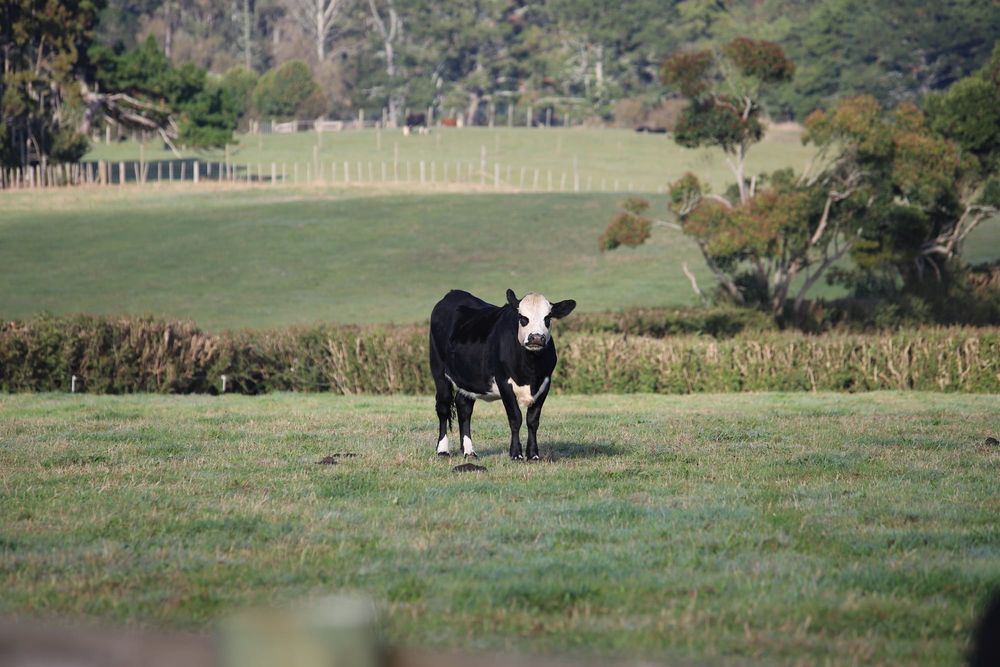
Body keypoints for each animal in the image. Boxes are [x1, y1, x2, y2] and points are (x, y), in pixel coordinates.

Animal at [429, 289, 576, 461]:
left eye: (547, 317)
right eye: (522, 317)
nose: (536, 338)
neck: (530, 369)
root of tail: (453, 293)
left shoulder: (545, 383)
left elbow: (533, 420)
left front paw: (533, 454)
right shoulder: (504, 382)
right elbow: (515, 418)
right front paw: (516, 454)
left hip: (468, 378)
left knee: (464, 408)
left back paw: (469, 451)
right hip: (438, 371)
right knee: (443, 406)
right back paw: (443, 450)